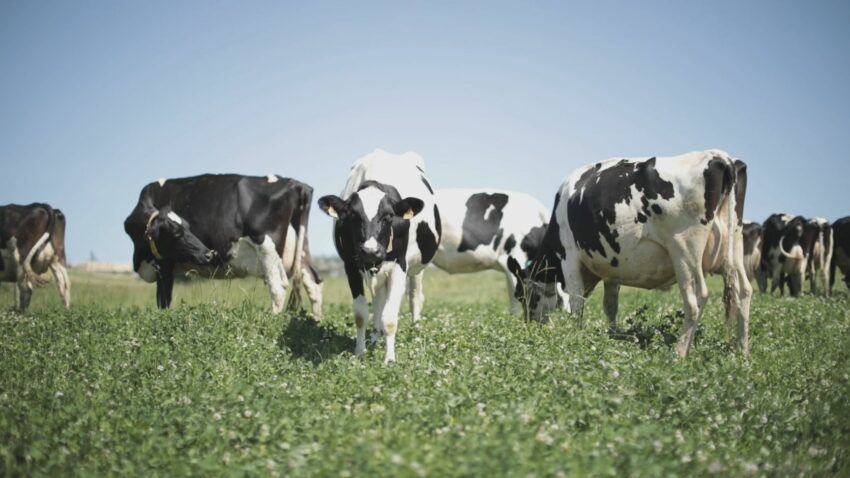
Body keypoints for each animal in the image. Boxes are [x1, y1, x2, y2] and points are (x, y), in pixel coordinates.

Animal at [123, 174, 323, 317]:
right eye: (179, 231)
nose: (208, 254)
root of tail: (296, 184)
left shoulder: (164, 263)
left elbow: (163, 300)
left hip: (267, 248)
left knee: (278, 287)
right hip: (301, 248)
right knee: (313, 284)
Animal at [318, 149, 441, 363]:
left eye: (388, 216)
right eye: (353, 215)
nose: (370, 251)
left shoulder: (400, 266)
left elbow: (390, 317)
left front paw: (389, 359)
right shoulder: (350, 266)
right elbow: (361, 314)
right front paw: (360, 352)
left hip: (417, 268)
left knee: (415, 295)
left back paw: (414, 328)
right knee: (378, 302)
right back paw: (376, 337)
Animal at [507, 150, 751, 358]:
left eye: (523, 296)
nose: (530, 325)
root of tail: (719, 156)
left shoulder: (569, 257)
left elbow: (576, 303)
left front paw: (575, 335)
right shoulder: (612, 267)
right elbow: (610, 305)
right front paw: (613, 336)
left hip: (684, 249)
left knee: (696, 297)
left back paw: (679, 353)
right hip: (735, 246)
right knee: (744, 291)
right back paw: (742, 352)